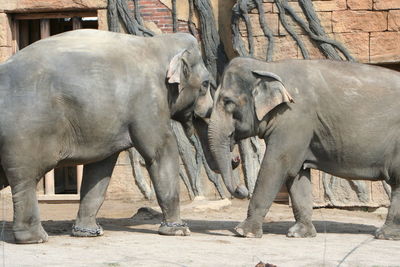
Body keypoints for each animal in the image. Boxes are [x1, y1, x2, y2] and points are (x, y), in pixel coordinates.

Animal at [0, 29, 216, 245]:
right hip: (24, 131)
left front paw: (88, 233)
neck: (157, 43)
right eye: (206, 84)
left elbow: (100, 168)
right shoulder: (149, 100)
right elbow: (160, 152)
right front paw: (179, 231)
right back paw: (35, 239)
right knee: (26, 179)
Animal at [208, 56, 400, 241]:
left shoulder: (294, 118)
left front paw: (243, 232)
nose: (242, 188)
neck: (268, 66)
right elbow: (297, 173)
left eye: (228, 102)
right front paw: (299, 234)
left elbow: (276, 166)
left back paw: (384, 235)